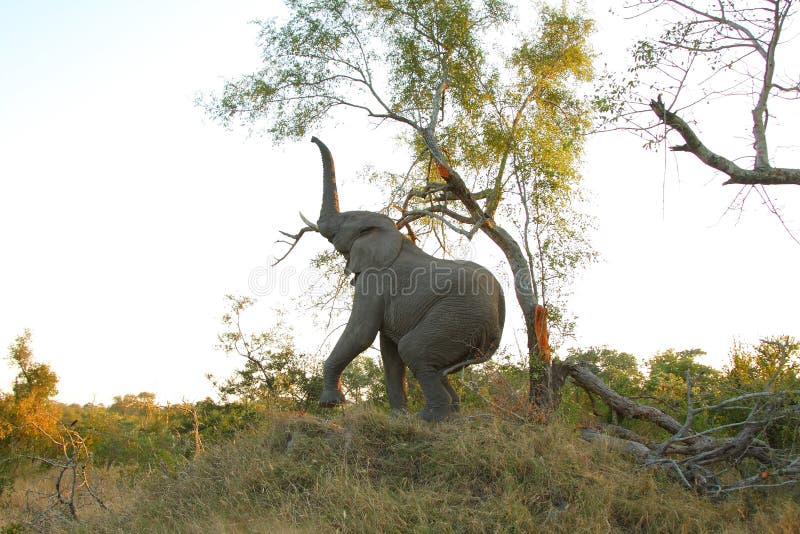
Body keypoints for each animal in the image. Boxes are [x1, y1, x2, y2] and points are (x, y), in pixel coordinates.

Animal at [308, 138, 504, 422]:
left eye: (344, 221)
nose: (312, 139)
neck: (391, 233)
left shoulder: (375, 278)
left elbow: (362, 334)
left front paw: (330, 404)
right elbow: (387, 350)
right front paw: (397, 419)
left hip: (458, 316)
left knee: (414, 350)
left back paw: (428, 419)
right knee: (432, 364)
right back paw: (449, 417)